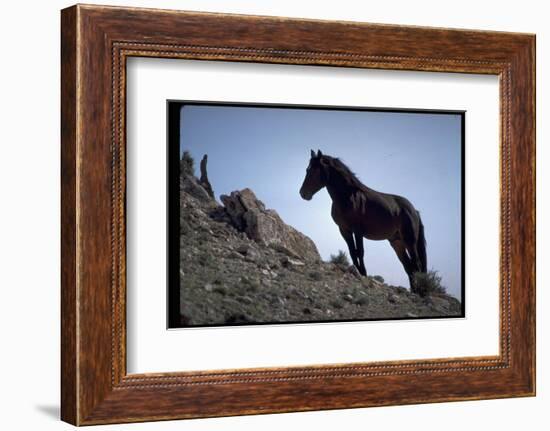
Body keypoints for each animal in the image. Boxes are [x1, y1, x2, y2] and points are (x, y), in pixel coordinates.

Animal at [300, 150, 430, 292]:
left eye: (314, 170)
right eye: (307, 170)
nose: (303, 193)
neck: (348, 196)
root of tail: (414, 210)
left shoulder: (358, 231)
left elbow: (360, 252)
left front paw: (363, 273)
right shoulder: (344, 230)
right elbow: (352, 252)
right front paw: (358, 272)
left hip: (409, 240)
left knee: (416, 264)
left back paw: (420, 290)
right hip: (397, 243)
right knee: (408, 267)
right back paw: (414, 290)